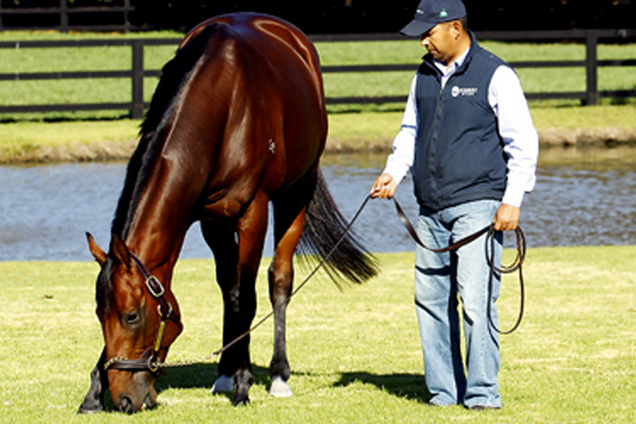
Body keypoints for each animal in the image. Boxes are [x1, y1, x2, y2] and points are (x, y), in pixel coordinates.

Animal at [78, 13, 378, 414]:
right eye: (100, 314)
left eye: (132, 315)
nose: (125, 398)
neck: (221, 102)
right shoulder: (210, 220)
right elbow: (229, 290)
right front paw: (93, 392)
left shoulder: (253, 213)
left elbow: (246, 296)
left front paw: (243, 383)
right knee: (230, 287)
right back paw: (225, 371)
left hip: (295, 194)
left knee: (279, 279)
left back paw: (277, 375)